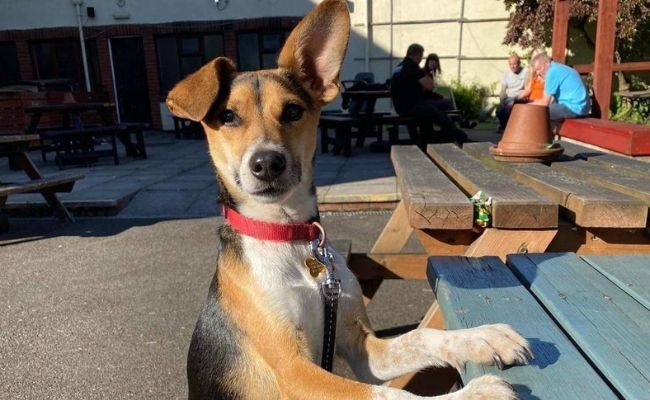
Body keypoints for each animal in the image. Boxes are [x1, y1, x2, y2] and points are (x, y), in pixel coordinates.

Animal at [165, 1, 528, 398]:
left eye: (292, 111)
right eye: (228, 116)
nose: (267, 163)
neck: (289, 237)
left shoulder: (361, 346)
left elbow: (421, 337)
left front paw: (481, 337)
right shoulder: (294, 372)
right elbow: (389, 393)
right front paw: (475, 392)